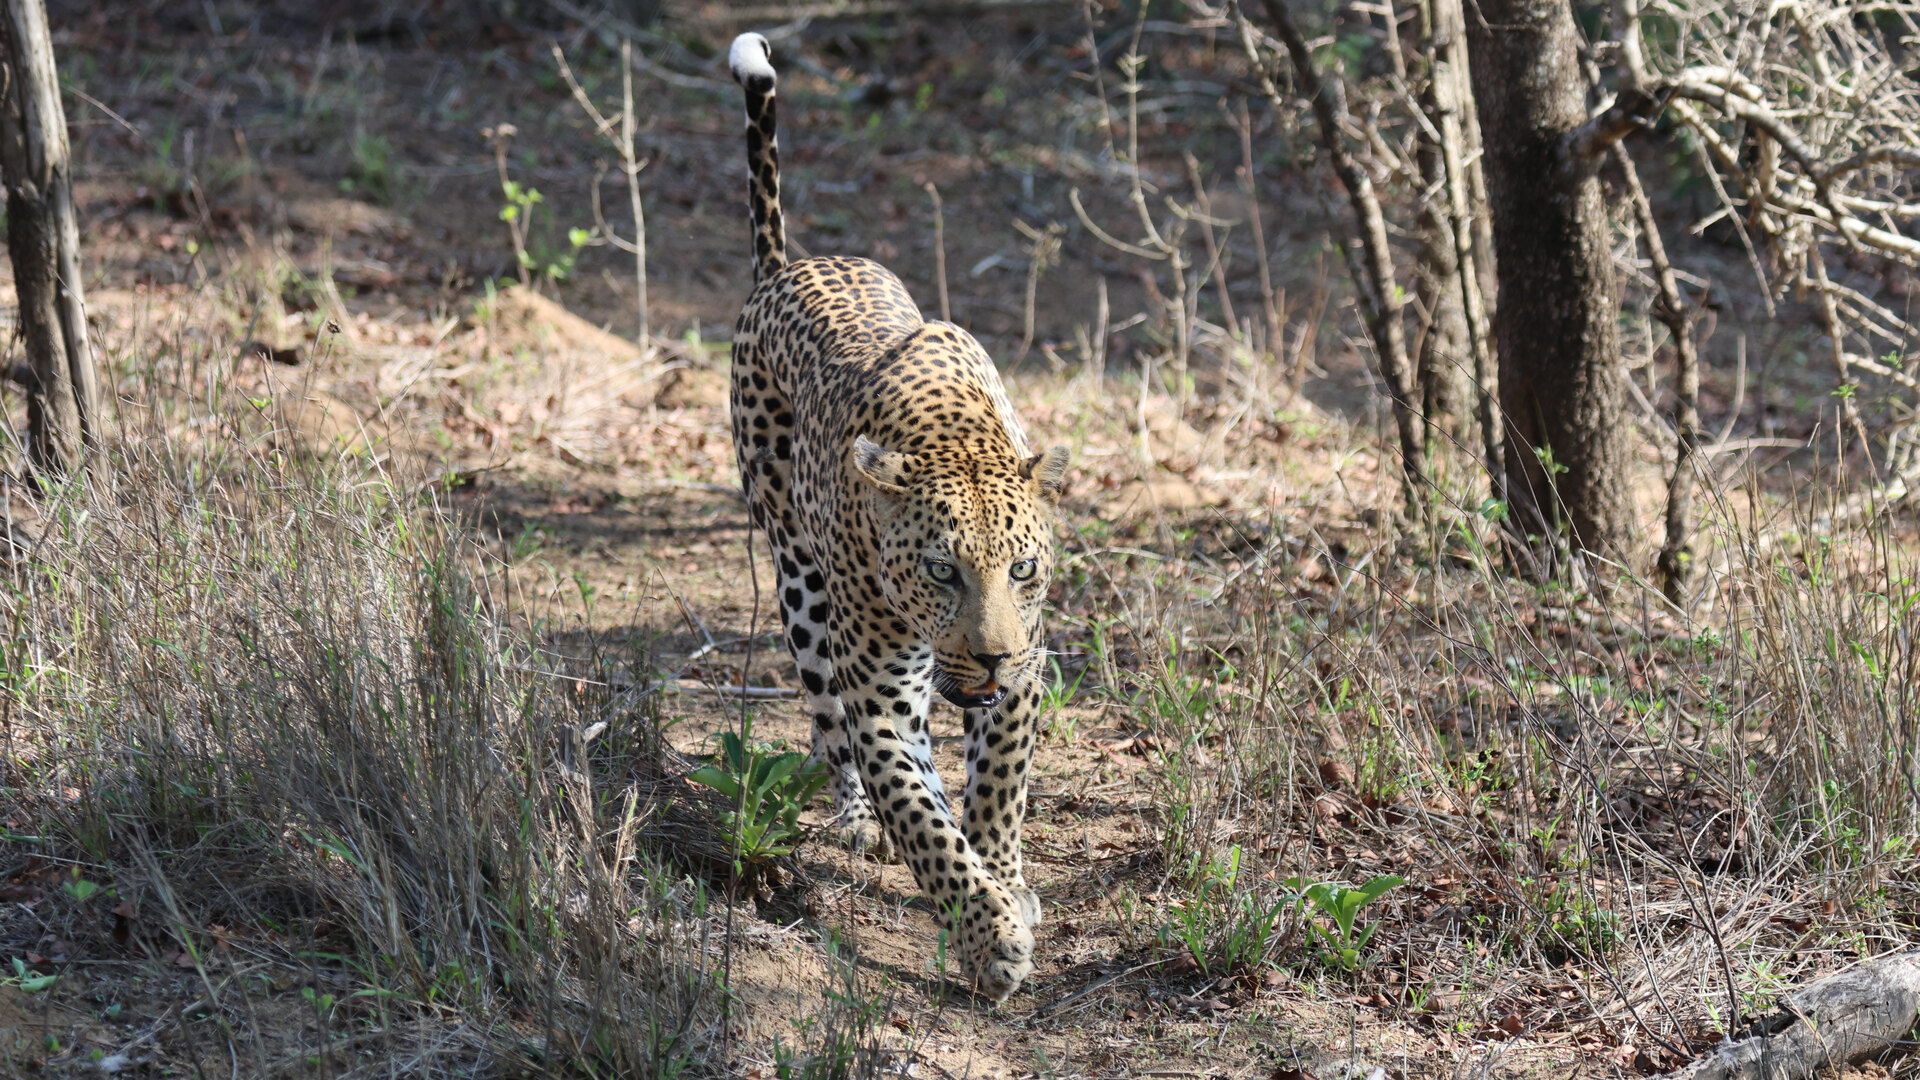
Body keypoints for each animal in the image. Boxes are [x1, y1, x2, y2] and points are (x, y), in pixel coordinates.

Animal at [726, 31, 1070, 1002]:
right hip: (801, 588)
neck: (958, 438)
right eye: (940, 571)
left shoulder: (1025, 672)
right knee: (831, 730)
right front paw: (988, 936)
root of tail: (791, 264)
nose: (988, 654)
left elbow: (997, 791)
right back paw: (854, 817)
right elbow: (921, 821)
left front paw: (1004, 883)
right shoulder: (880, 696)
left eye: (1022, 570)